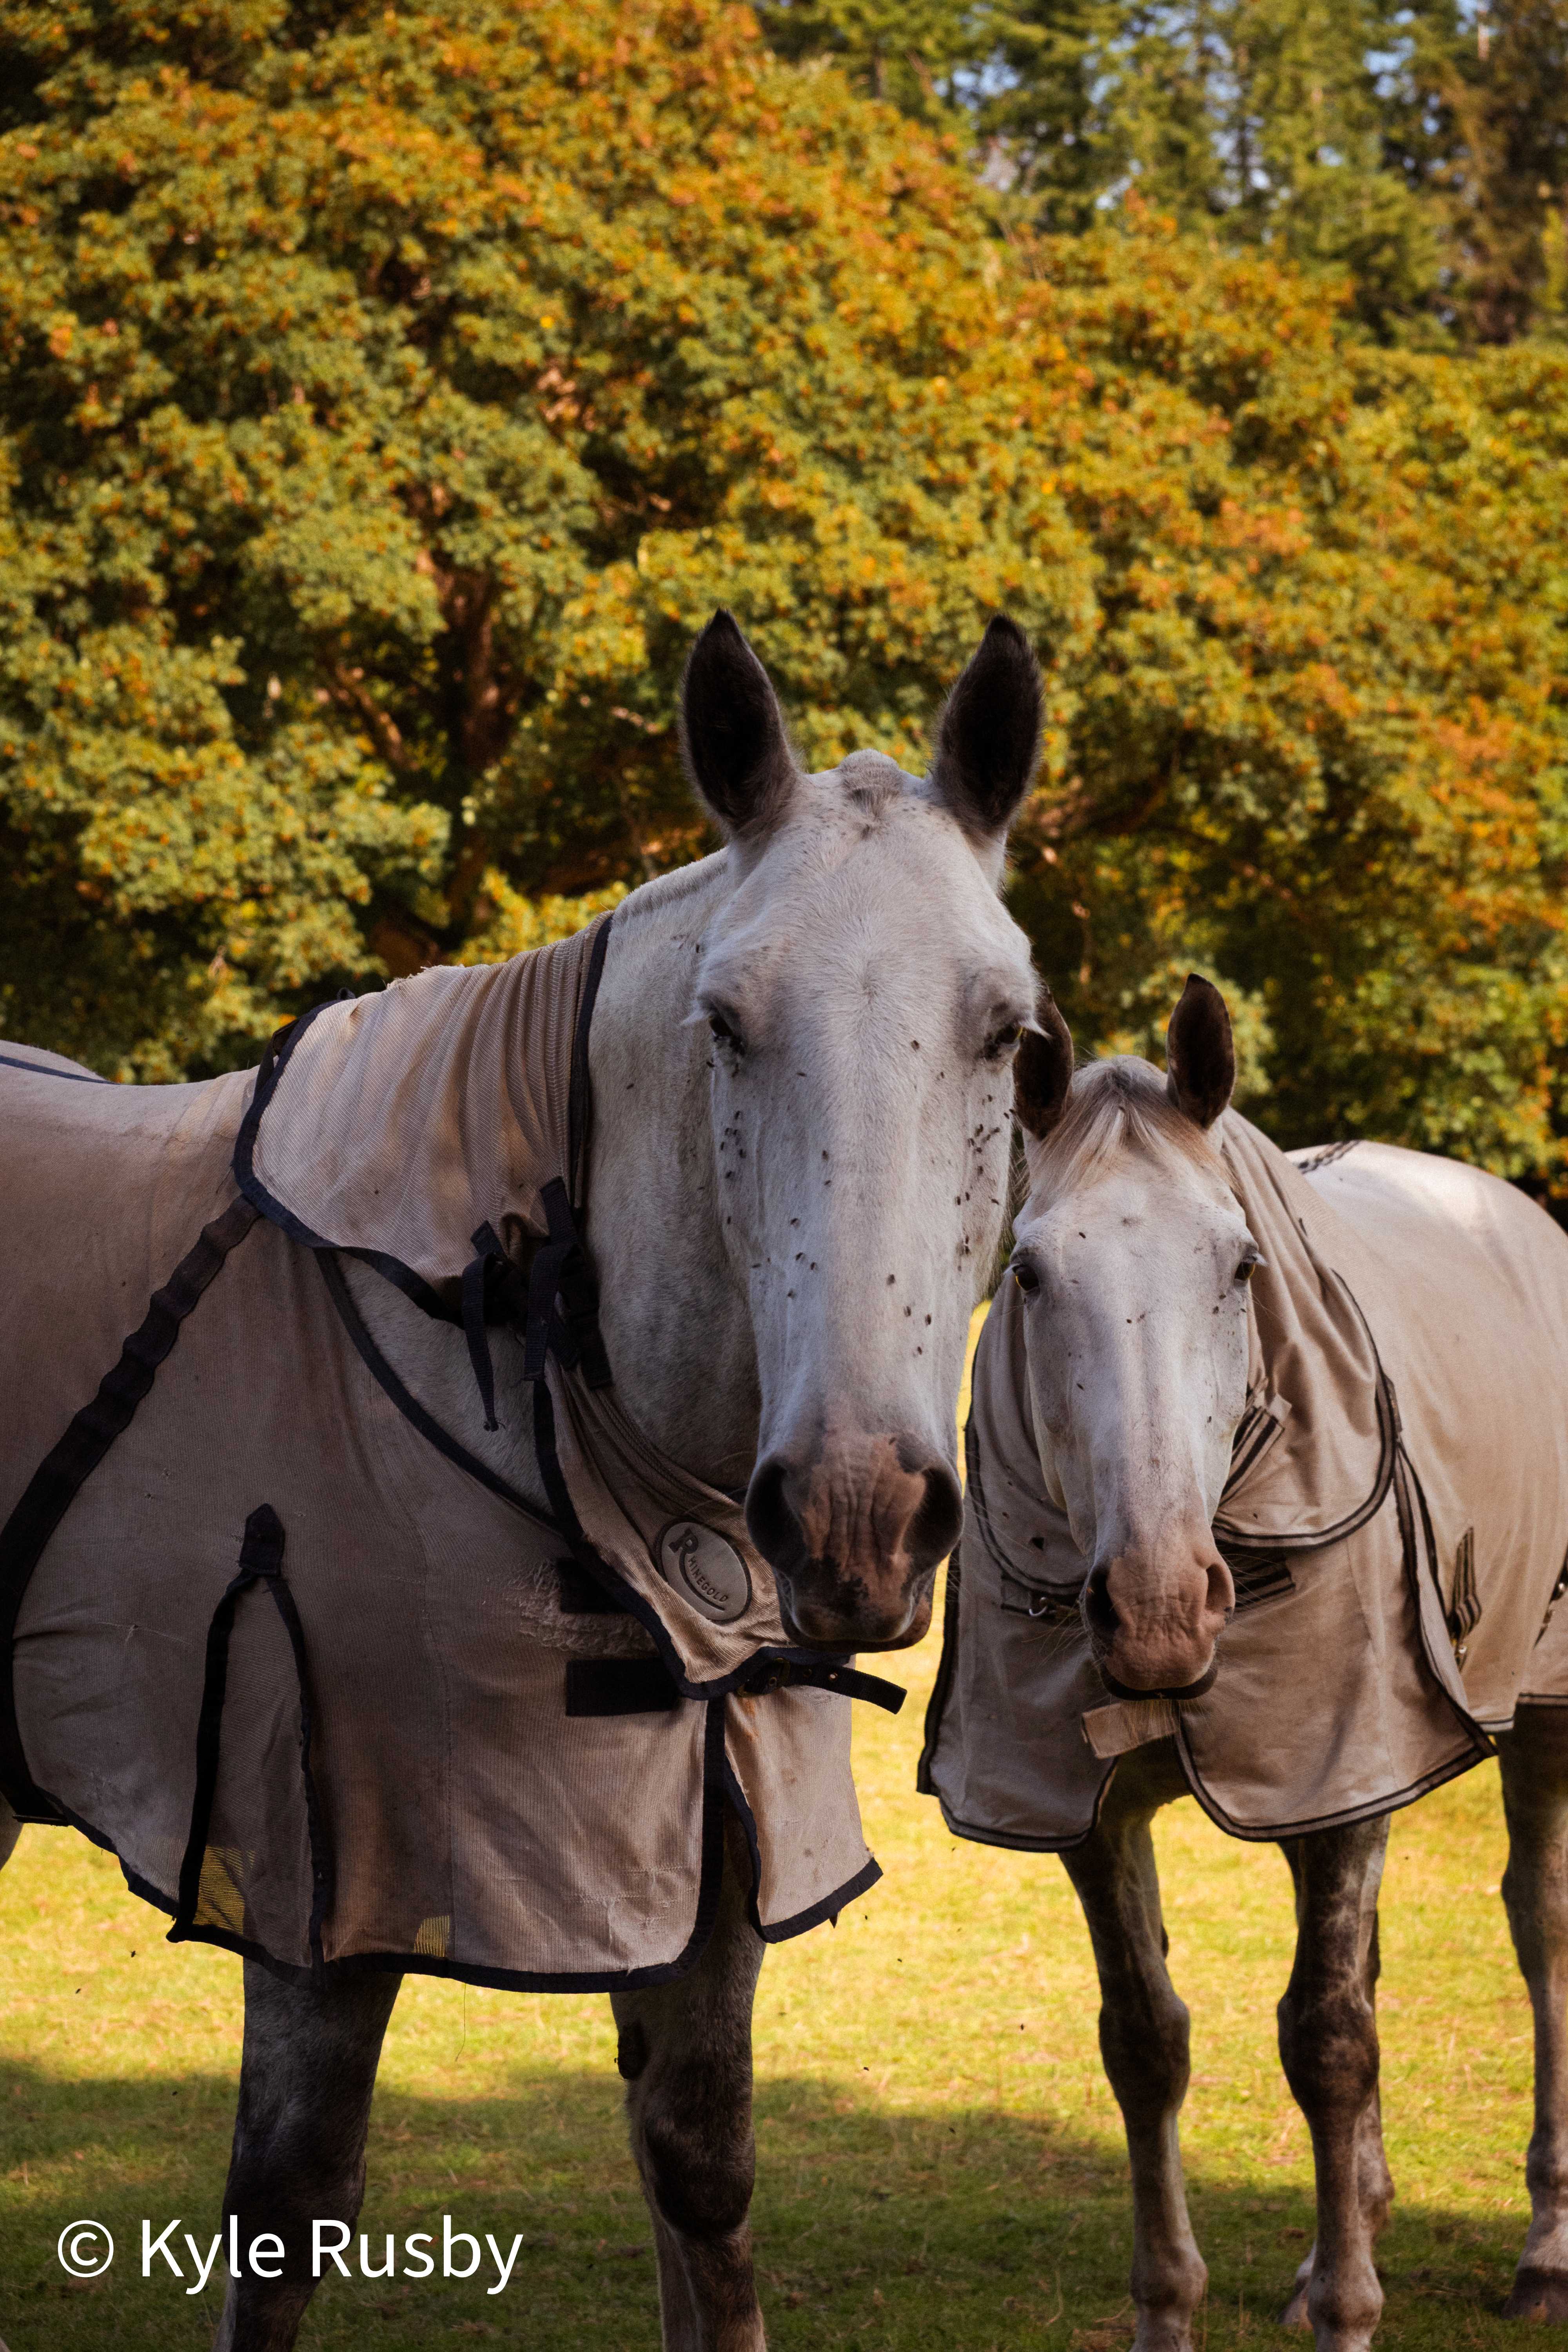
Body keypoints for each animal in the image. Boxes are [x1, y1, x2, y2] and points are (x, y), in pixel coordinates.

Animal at [0, 610, 1043, 2352]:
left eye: (1007, 1032)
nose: (857, 1521)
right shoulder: (321, 1884)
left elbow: (702, 2183)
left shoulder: (705, 1874)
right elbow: (285, 2210)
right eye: (725, 1024)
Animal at [920, 974, 1568, 2352]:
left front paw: (1349, 2313)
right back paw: (1344, 2231)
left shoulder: (1349, 1769)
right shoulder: (1097, 1807)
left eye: (1239, 1267)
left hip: (1531, 1713)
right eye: (1029, 1271)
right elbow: (1146, 2040)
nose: (1157, 1608)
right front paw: (1186, 2301)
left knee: (1537, 1930)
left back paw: (1541, 2248)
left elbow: (1327, 2042)